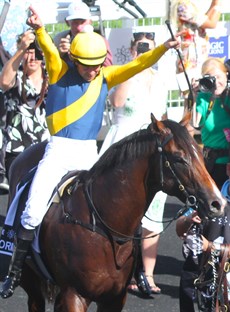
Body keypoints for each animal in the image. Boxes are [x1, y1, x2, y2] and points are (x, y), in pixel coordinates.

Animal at [6, 113, 225, 310]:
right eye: (179, 158)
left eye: (200, 153)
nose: (218, 203)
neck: (103, 225)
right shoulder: (74, 295)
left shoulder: (114, 297)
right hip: (31, 281)